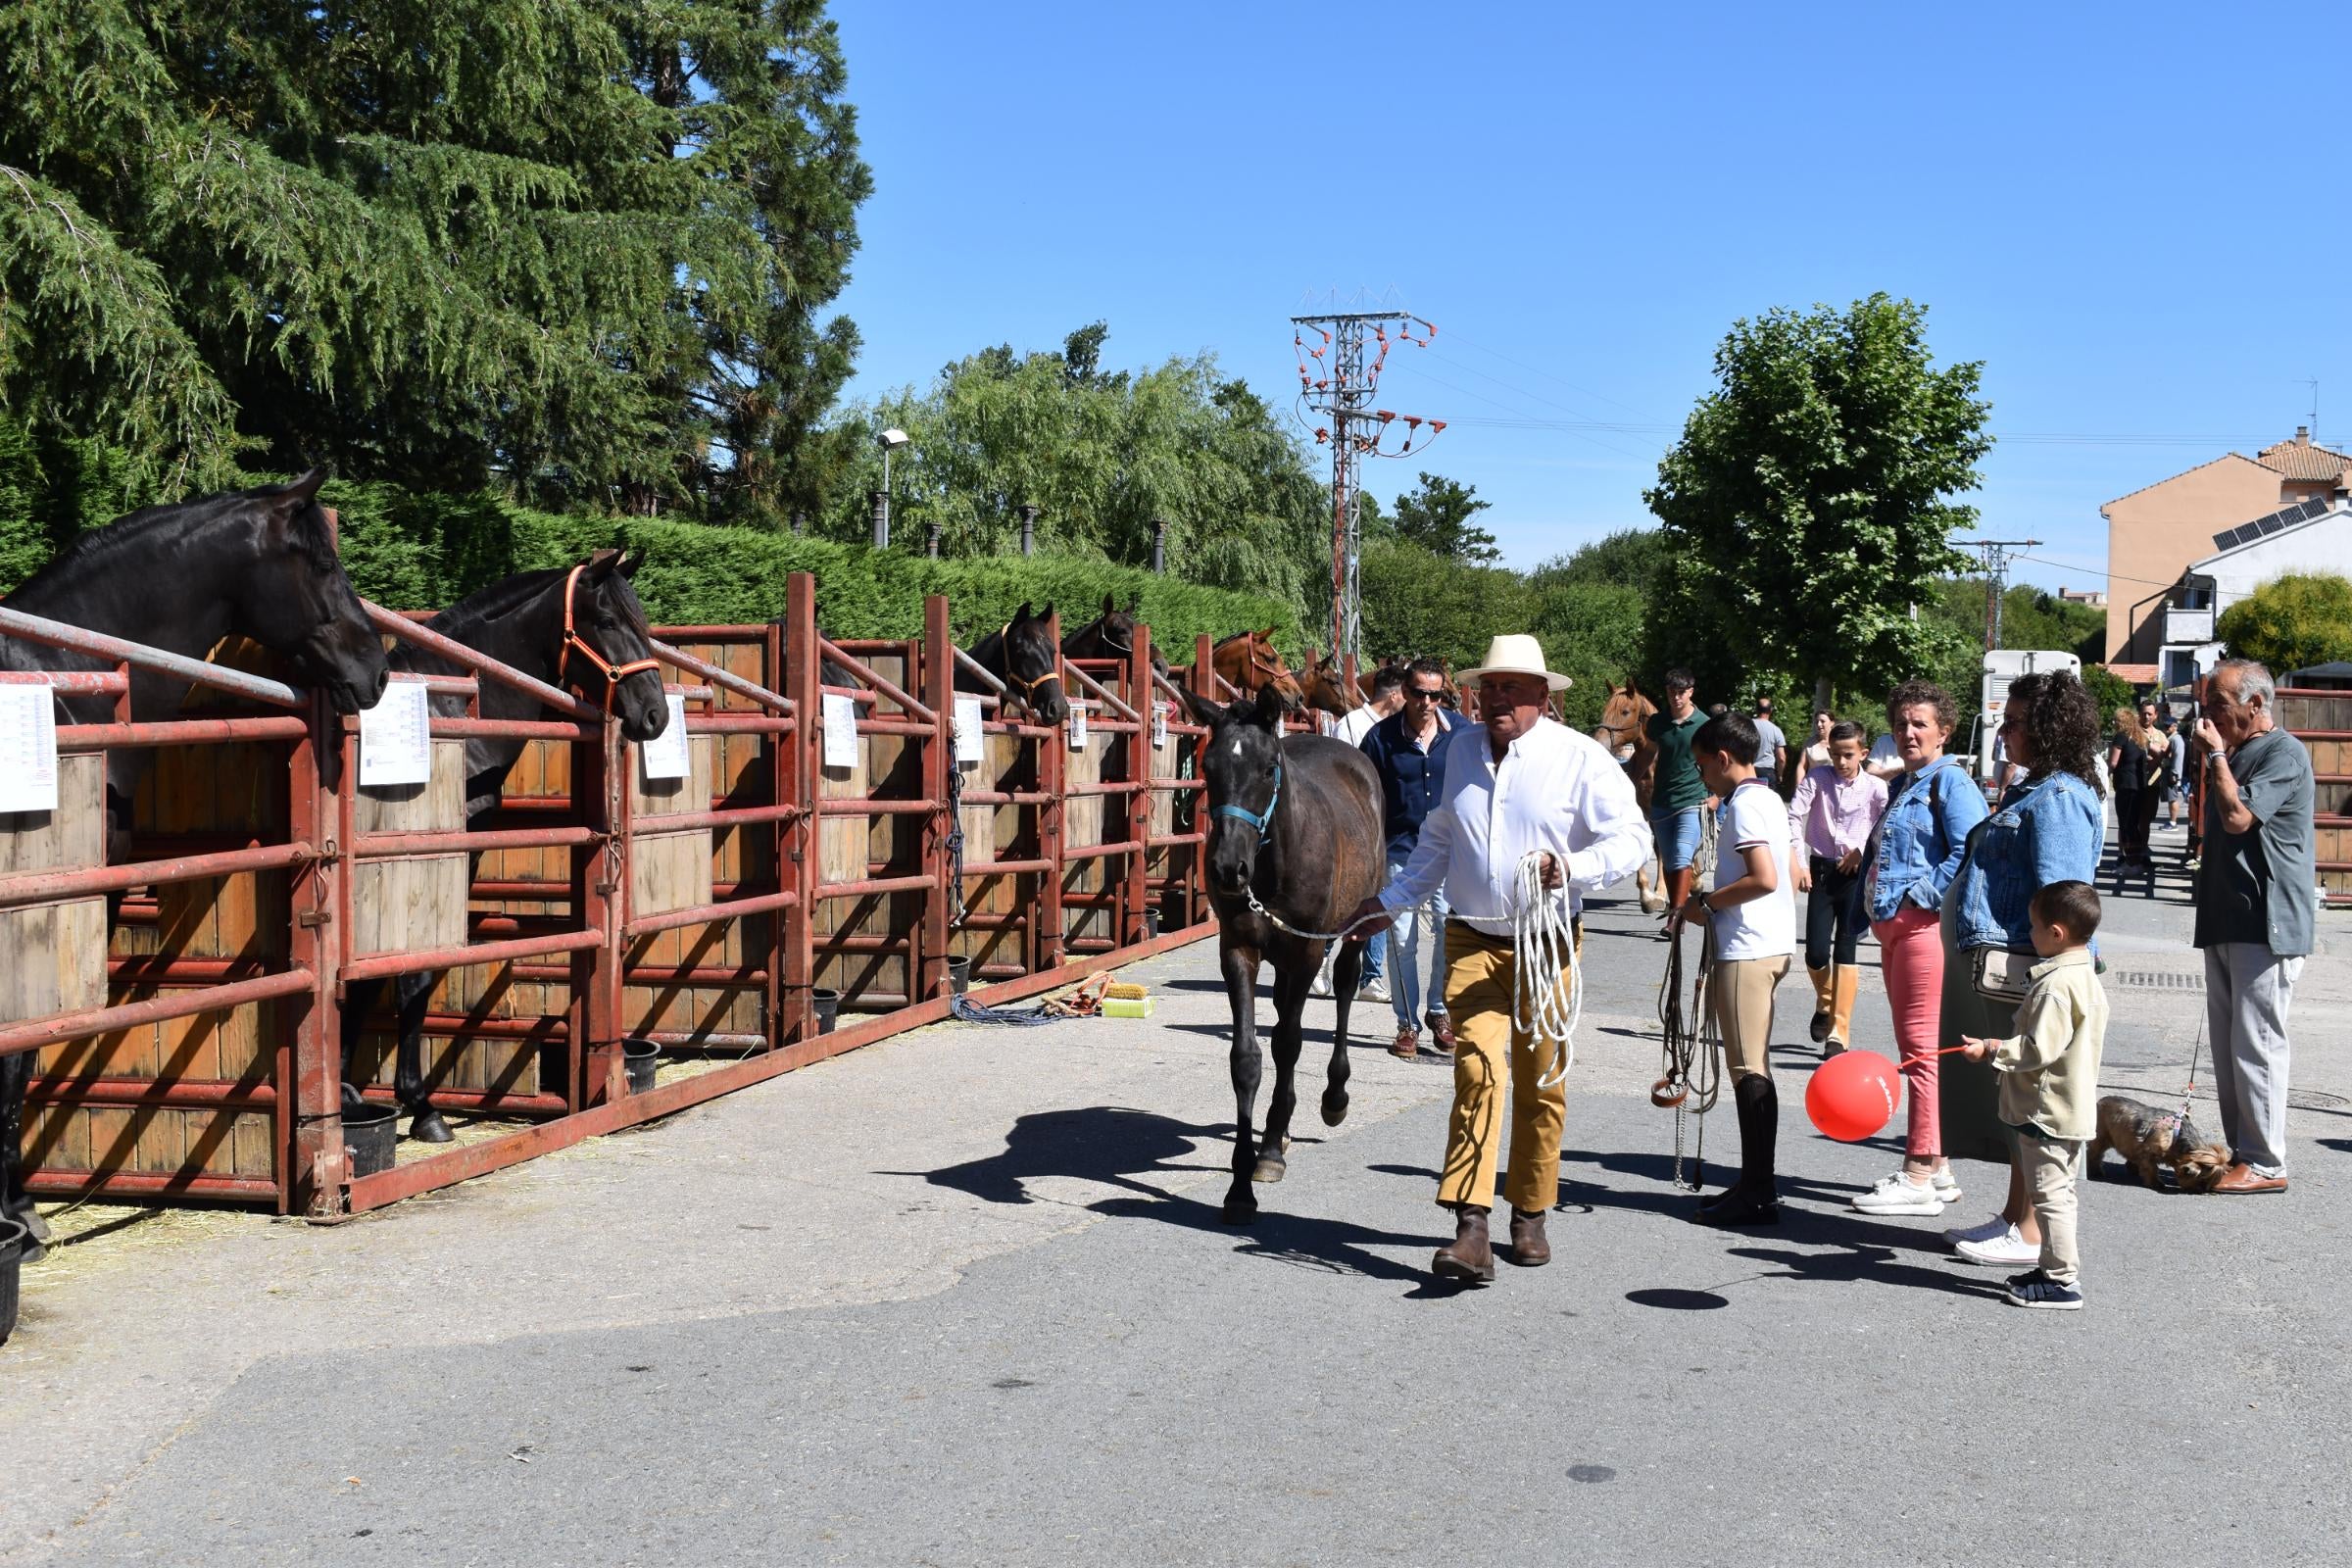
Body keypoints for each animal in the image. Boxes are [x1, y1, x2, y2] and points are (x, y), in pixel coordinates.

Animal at [1185, 686, 1383, 1222]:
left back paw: (1332, 1097)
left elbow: (1289, 1044)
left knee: (1344, 990)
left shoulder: (1307, 951)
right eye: (1208, 765)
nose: (1228, 868)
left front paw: (1269, 1150)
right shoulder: (1239, 949)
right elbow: (1248, 1057)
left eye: (1268, 767)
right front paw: (1239, 1185)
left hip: (1354, 928)